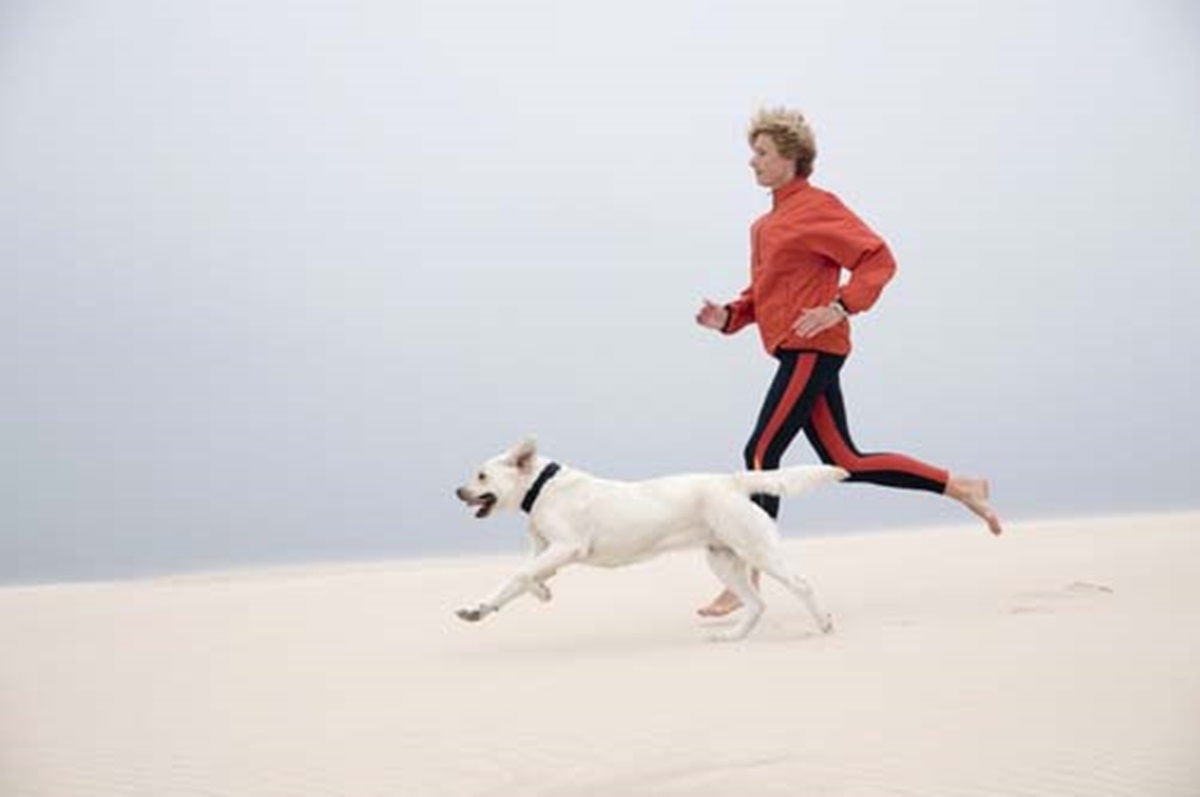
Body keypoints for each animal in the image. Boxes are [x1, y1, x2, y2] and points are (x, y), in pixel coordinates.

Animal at [453, 436, 849, 643]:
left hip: (755, 548)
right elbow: (518, 581)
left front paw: (536, 591)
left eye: (481, 475)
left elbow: (520, 575)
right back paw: (732, 637)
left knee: (800, 584)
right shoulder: (544, 553)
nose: (458, 491)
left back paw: (824, 625)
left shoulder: (567, 547)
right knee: (756, 604)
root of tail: (731, 480)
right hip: (721, 559)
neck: (541, 487)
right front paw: (480, 609)